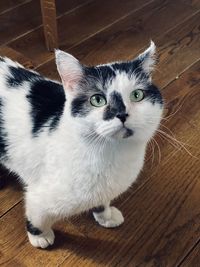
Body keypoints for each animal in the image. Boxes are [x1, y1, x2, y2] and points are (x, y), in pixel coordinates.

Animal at [0, 41, 162, 249]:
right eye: (97, 100)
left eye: (137, 95)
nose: (122, 114)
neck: (112, 154)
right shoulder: (39, 193)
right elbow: (37, 214)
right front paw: (40, 235)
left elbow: (102, 201)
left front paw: (106, 216)